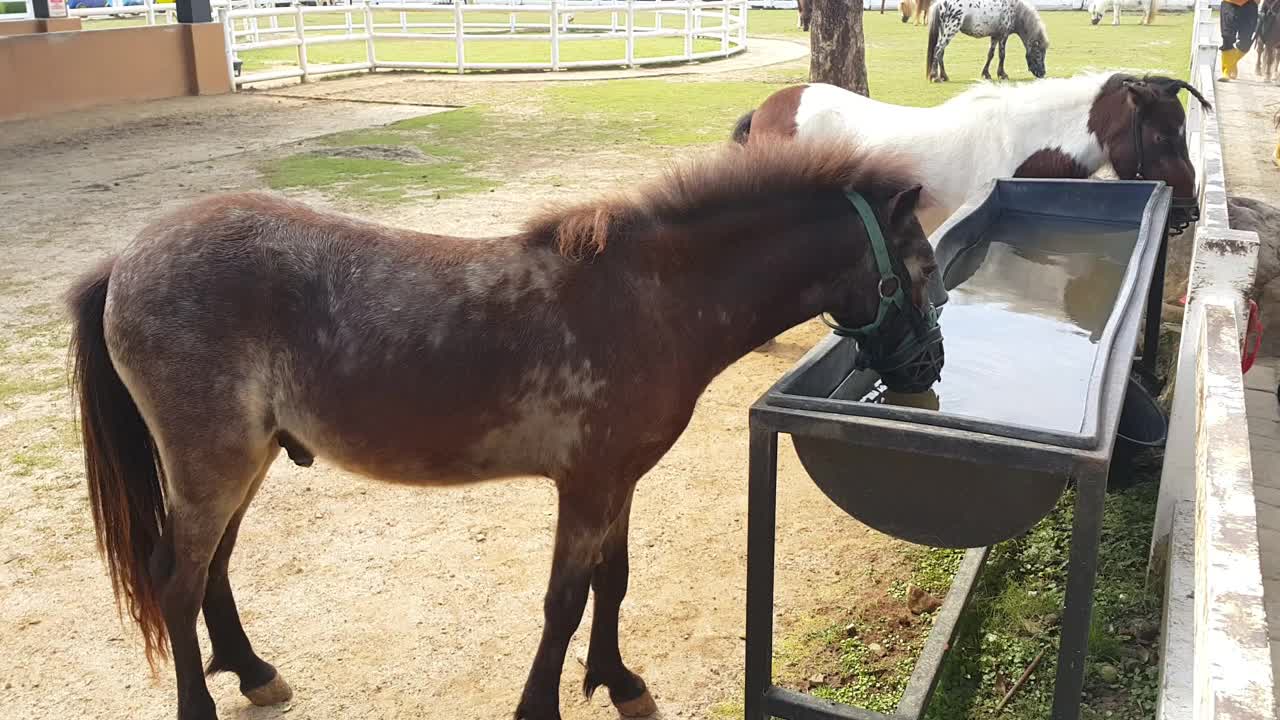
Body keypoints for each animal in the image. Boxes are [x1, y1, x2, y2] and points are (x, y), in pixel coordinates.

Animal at [62, 139, 942, 717]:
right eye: (924, 271)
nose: (927, 368)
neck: (651, 300)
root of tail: (125, 260)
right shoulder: (586, 487)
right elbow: (564, 601)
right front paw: (543, 705)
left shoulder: (616, 482)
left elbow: (612, 583)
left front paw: (618, 682)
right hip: (213, 465)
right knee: (175, 580)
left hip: (244, 464)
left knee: (211, 570)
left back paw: (253, 673)